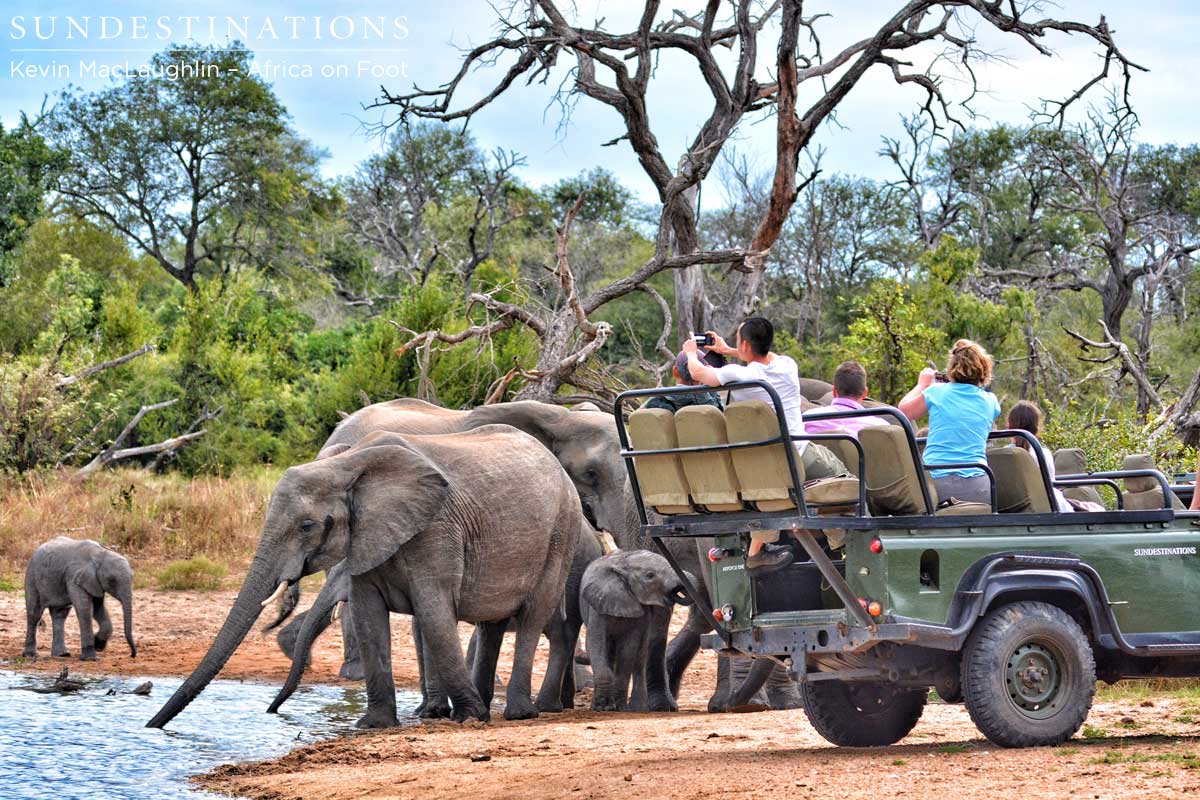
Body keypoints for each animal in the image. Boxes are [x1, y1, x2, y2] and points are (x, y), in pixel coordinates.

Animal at [147, 429, 588, 729]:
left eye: (306, 526)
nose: (152, 727)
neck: (349, 465)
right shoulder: (367, 538)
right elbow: (367, 617)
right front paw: (373, 725)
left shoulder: (436, 527)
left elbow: (433, 613)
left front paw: (468, 719)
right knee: (492, 625)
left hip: (561, 532)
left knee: (531, 618)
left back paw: (517, 713)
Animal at [580, 551, 696, 714]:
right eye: (650, 575)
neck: (623, 566)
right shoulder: (598, 606)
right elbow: (596, 643)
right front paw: (603, 707)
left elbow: (628, 648)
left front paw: (619, 708)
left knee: (639, 659)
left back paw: (638, 708)